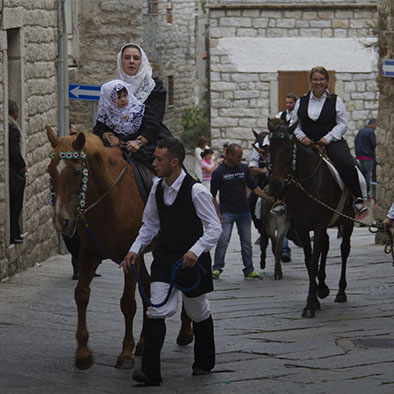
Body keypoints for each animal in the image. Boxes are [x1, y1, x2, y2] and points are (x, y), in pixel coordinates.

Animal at [46, 127, 192, 370]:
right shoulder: (89, 254)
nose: (61, 222)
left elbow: (128, 303)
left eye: (77, 172)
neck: (110, 199)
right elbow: (81, 294)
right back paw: (144, 343)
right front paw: (83, 353)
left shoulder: (129, 256)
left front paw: (125, 354)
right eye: (50, 171)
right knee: (147, 288)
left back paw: (185, 333)